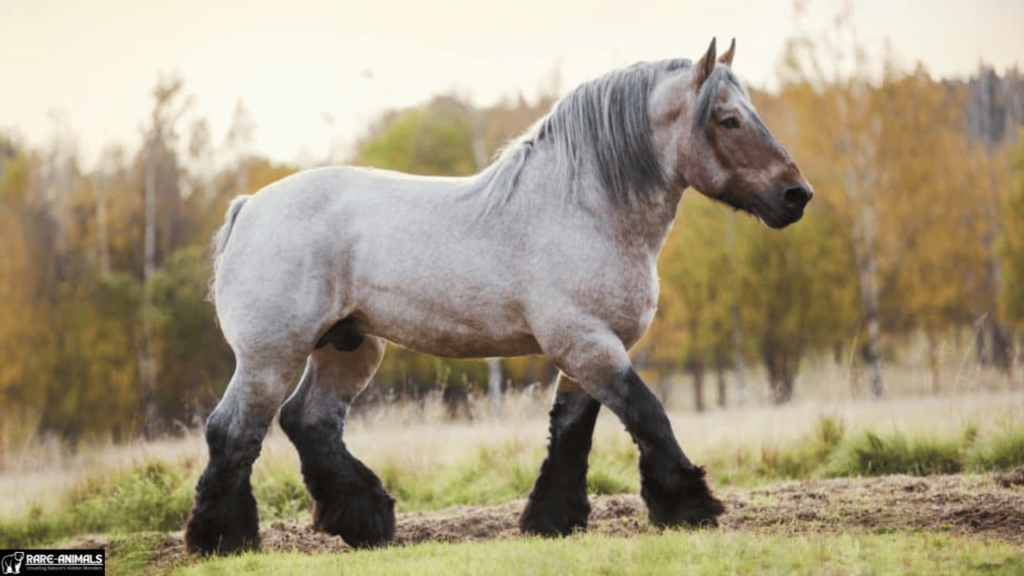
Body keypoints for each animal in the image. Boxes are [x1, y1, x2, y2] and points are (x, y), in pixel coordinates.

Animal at [184, 36, 815, 553]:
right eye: (729, 120)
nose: (797, 195)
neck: (583, 207)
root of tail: (249, 207)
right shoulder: (586, 342)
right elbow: (647, 414)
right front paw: (690, 506)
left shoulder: (585, 349)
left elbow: (571, 431)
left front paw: (552, 520)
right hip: (270, 357)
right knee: (234, 431)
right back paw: (224, 540)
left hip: (349, 347)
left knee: (308, 422)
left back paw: (365, 520)